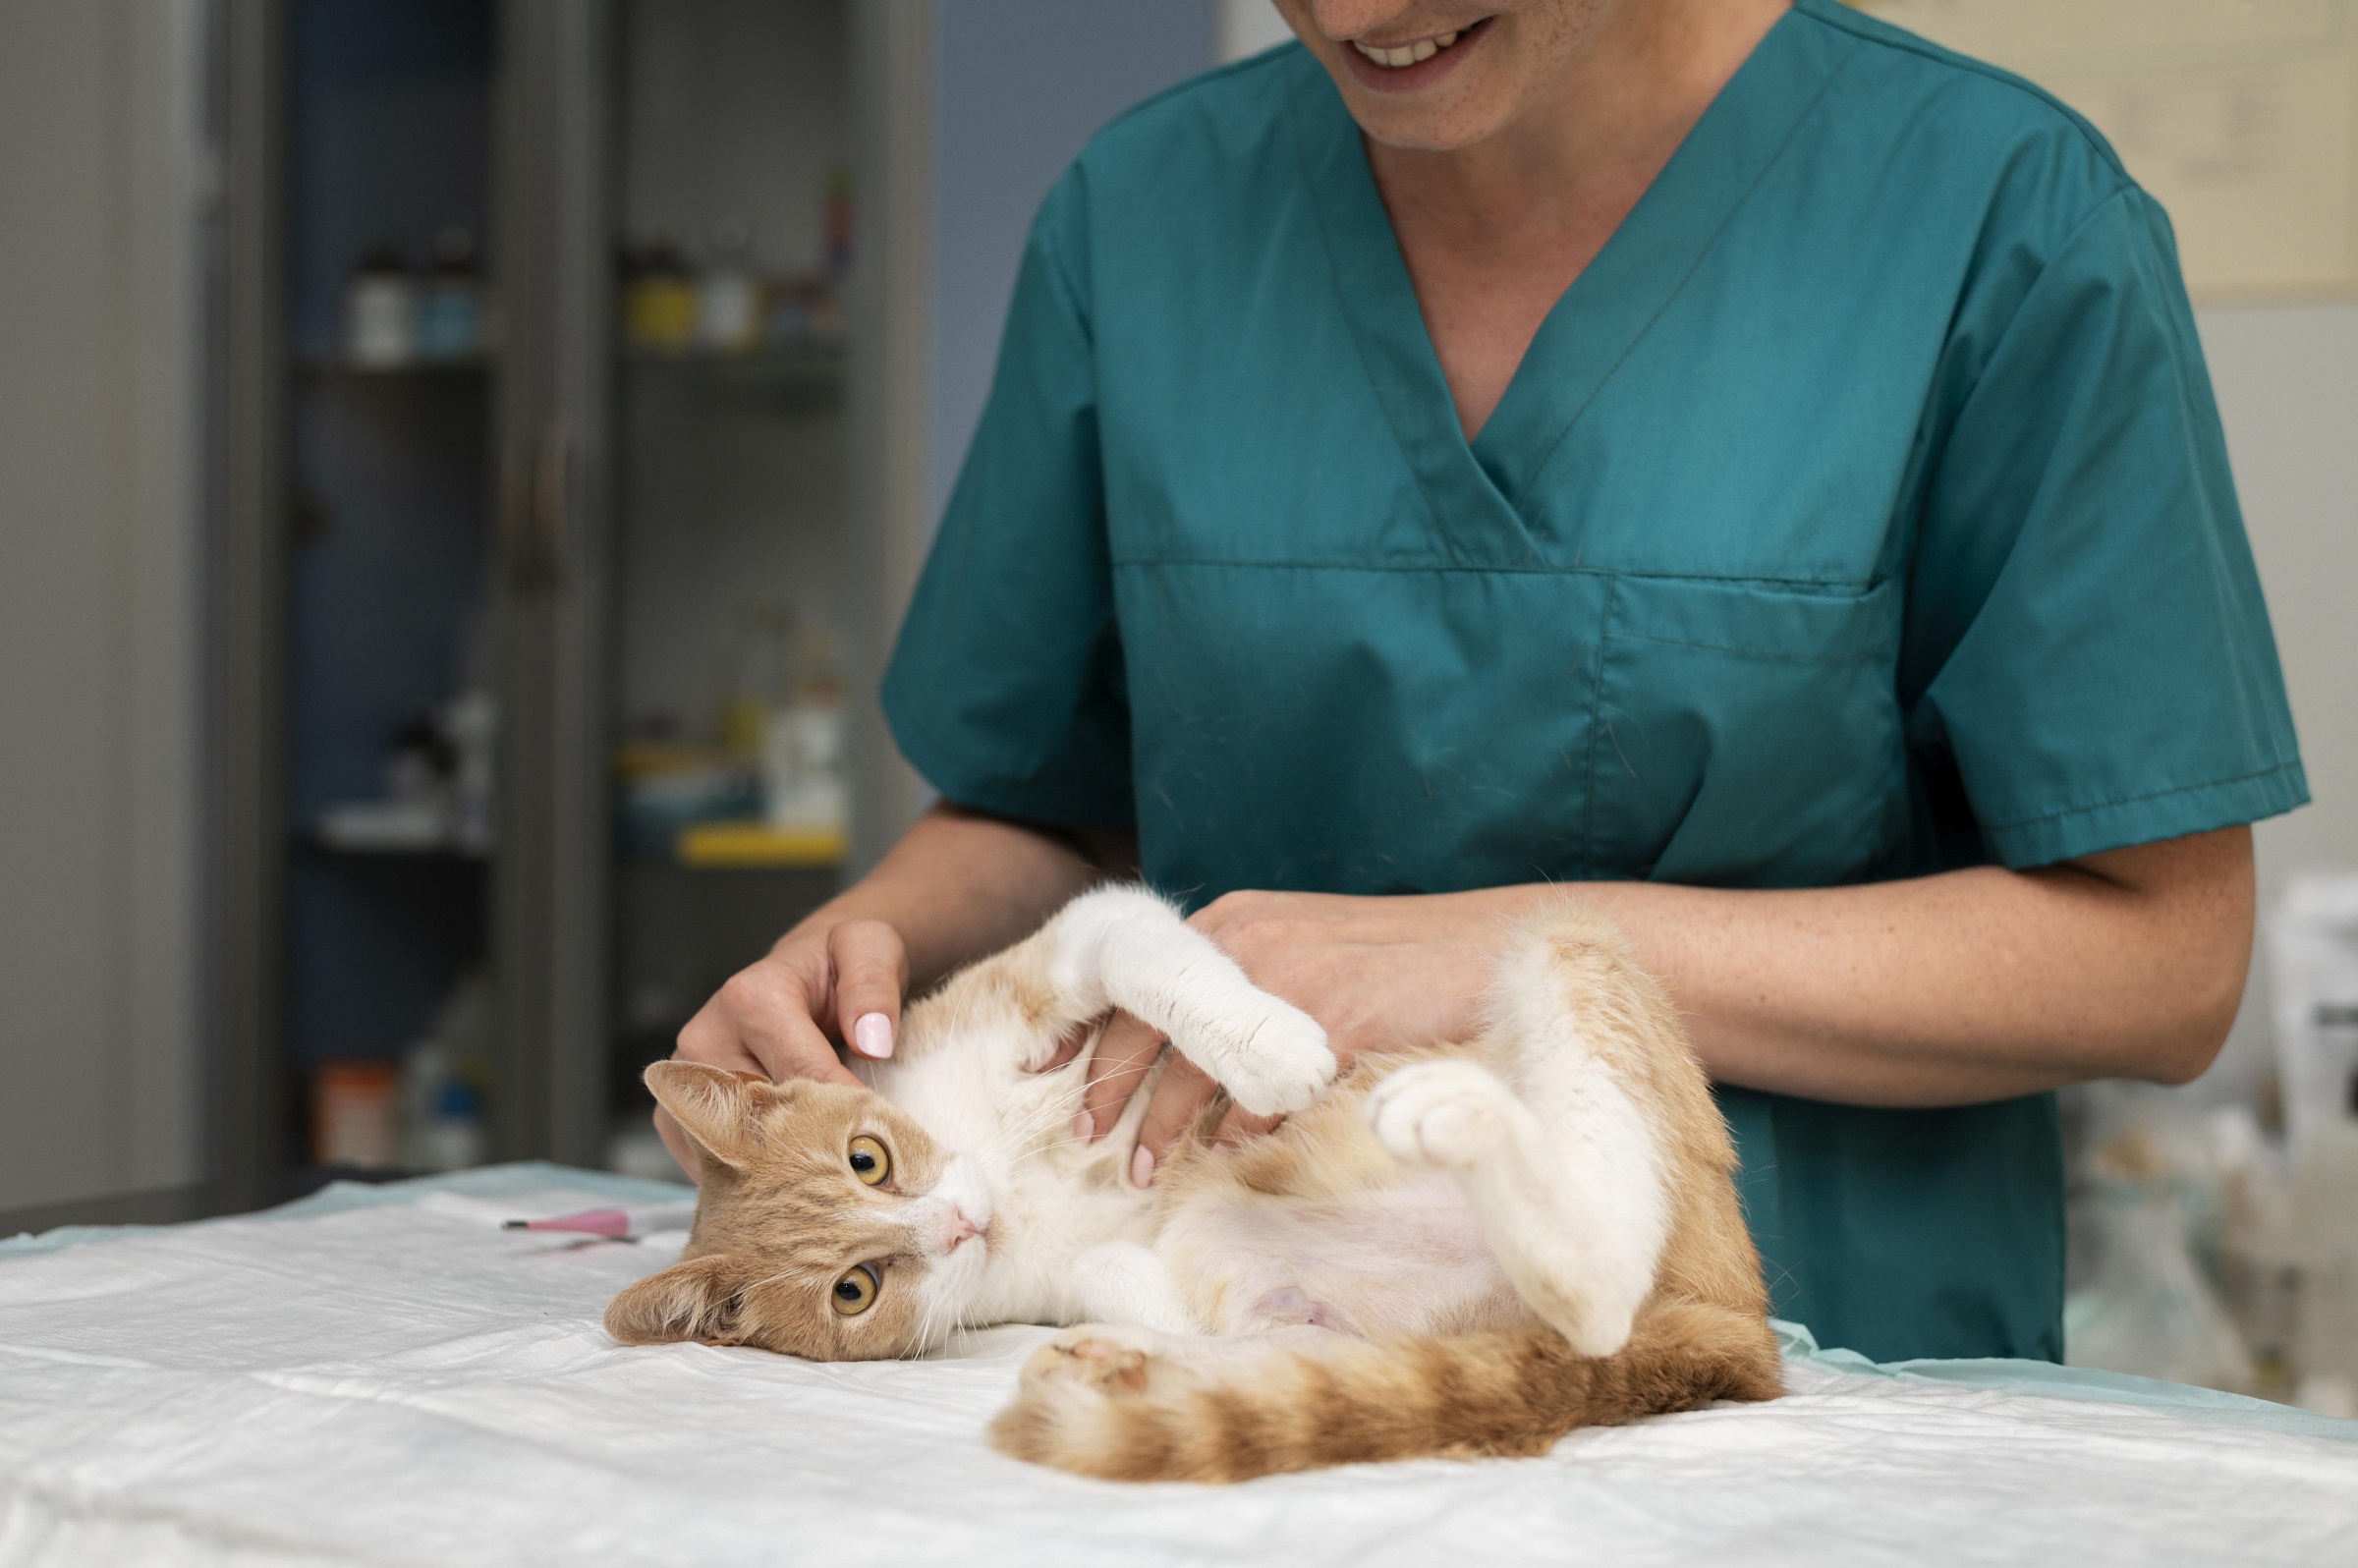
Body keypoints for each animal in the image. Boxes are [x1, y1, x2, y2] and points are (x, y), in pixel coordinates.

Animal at [603, 886, 1772, 1471]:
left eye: (869, 1159)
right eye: (856, 1289)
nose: (957, 1223)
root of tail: (1735, 1325)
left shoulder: (1072, 948)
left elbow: (1145, 959)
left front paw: (1268, 1049)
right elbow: (1111, 1270)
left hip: (1568, 938)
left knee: (1603, 1275)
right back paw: (1122, 1362)